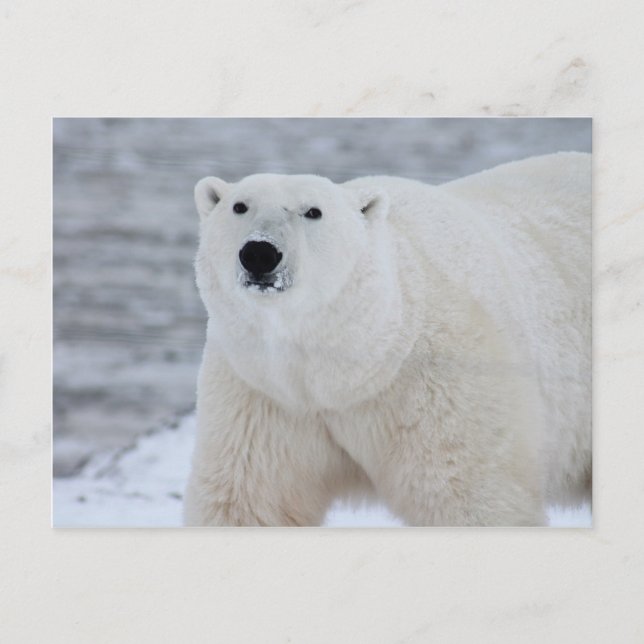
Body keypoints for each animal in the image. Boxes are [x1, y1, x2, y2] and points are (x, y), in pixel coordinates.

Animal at [183, 152, 591, 527]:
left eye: (313, 211)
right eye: (239, 206)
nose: (260, 252)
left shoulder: (441, 388)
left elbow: (471, 496)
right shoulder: (263, 394)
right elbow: (248, 500)